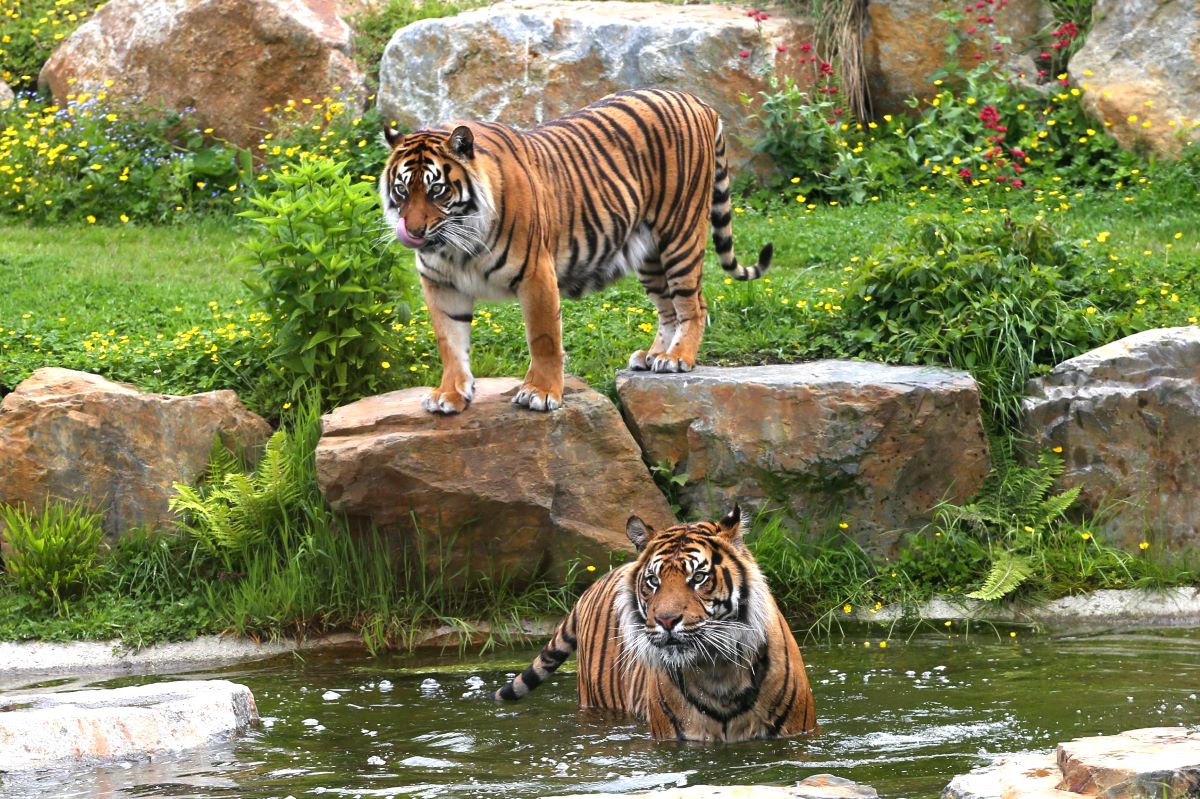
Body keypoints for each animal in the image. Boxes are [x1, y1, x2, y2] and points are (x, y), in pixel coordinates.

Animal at [380, 88, 772, 415]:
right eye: (402, 190)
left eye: (437, 190)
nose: (413, 232)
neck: (456, 246)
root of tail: (697, 101)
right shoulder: (441, 284)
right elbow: (450, 343)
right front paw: (449, 394)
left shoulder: (535, 272)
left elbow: (543, 338)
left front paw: (540, 393)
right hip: (648, 252)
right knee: (668, 308)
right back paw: (655, 355)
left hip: (680, 233)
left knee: (694, 304)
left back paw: (678, 358)